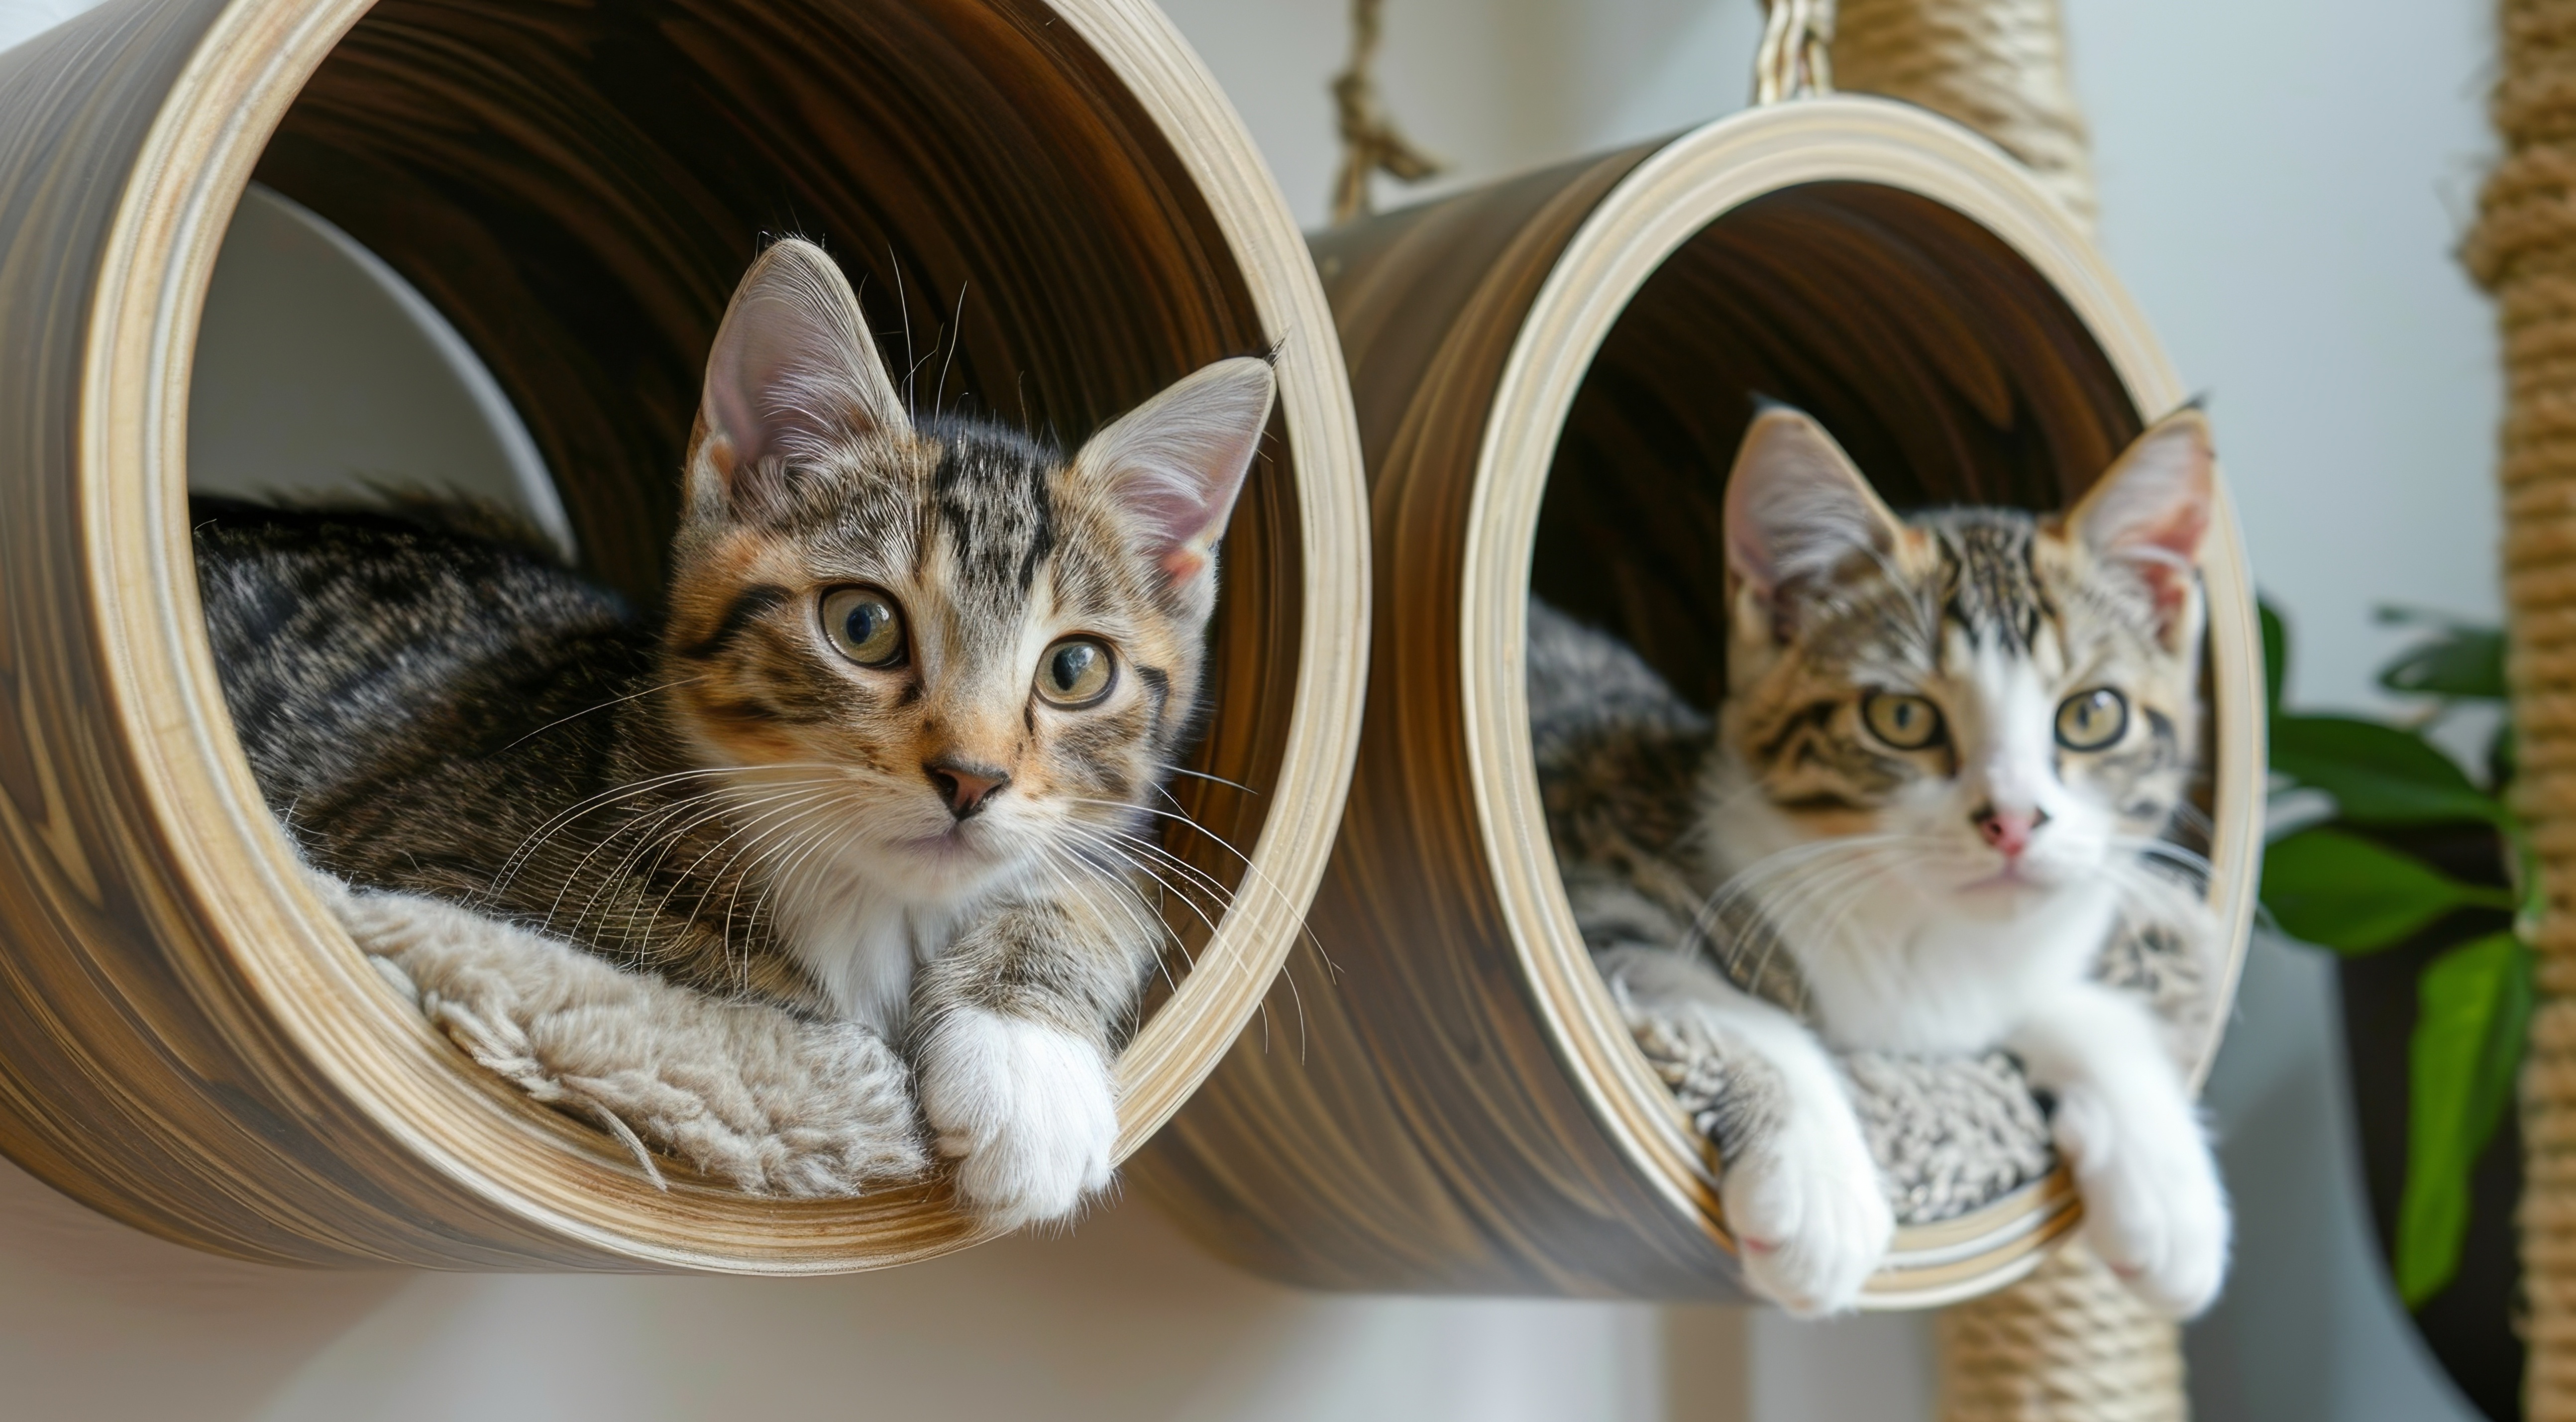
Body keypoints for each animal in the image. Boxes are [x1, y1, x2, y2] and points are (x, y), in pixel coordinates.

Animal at [193, 235, 1278, 1221]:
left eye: (1073, 670)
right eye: (862, 625)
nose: (971, 778)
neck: (871, 910)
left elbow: (1107, 887)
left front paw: (1027, 1063)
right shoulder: (424, 867)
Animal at [1525, 404, 2236, 1318]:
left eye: (2092, 716)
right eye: (1902, 717)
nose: (2013, 822)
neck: (1927, 942)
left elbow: (2080, 1005)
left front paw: (2169, 1186)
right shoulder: (1588, 868)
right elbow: (1711, 996)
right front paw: (1821, 1184)